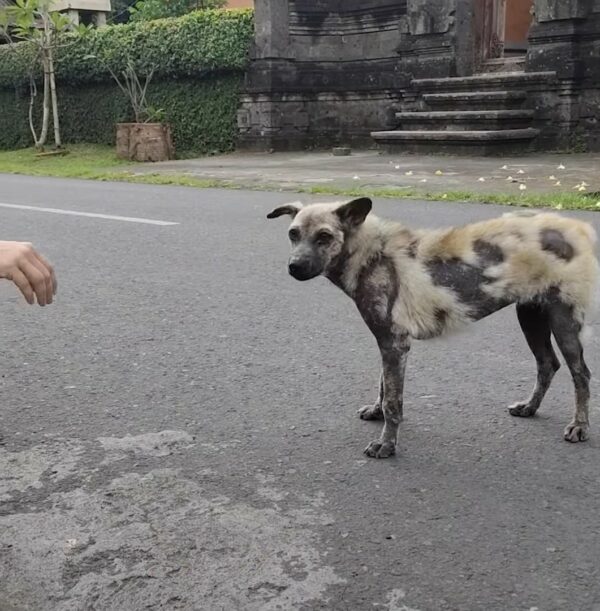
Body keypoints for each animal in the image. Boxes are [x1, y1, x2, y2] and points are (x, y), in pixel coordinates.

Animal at [268, 200, 600, 460]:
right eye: (293, 234)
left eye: (324, 236)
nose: (294, 267)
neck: (373, 257)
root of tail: (578, 228)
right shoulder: (388, 344)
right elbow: (383, 386)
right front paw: (377, 413)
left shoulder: (394, 344)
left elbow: (393, 401)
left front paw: (386, 444)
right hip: (531, 318)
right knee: (547, 365)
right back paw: (529, 407)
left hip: (563, 325)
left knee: (580, 374)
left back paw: (580, 426)